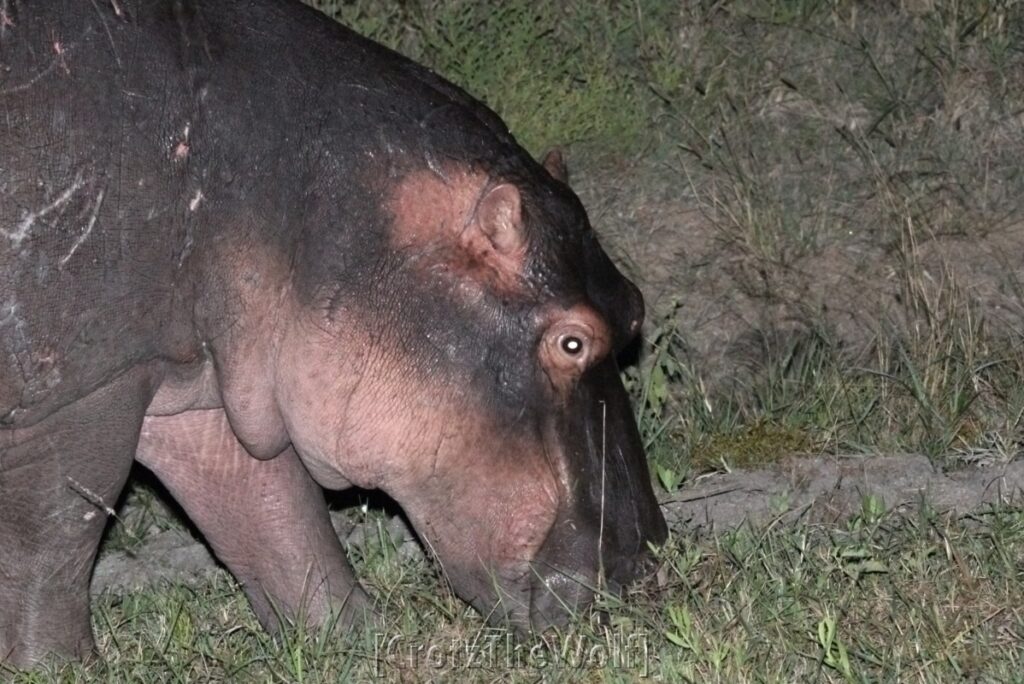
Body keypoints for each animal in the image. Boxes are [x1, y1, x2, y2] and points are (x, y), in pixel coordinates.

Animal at [0, 0, 663, 663]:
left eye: (635, 305)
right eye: (572, 341)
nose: (644, 565)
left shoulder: (201, 385)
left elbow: (275, 518)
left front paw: (352, 640)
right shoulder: (85, 388)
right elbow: (54, 539)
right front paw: (57, 668)